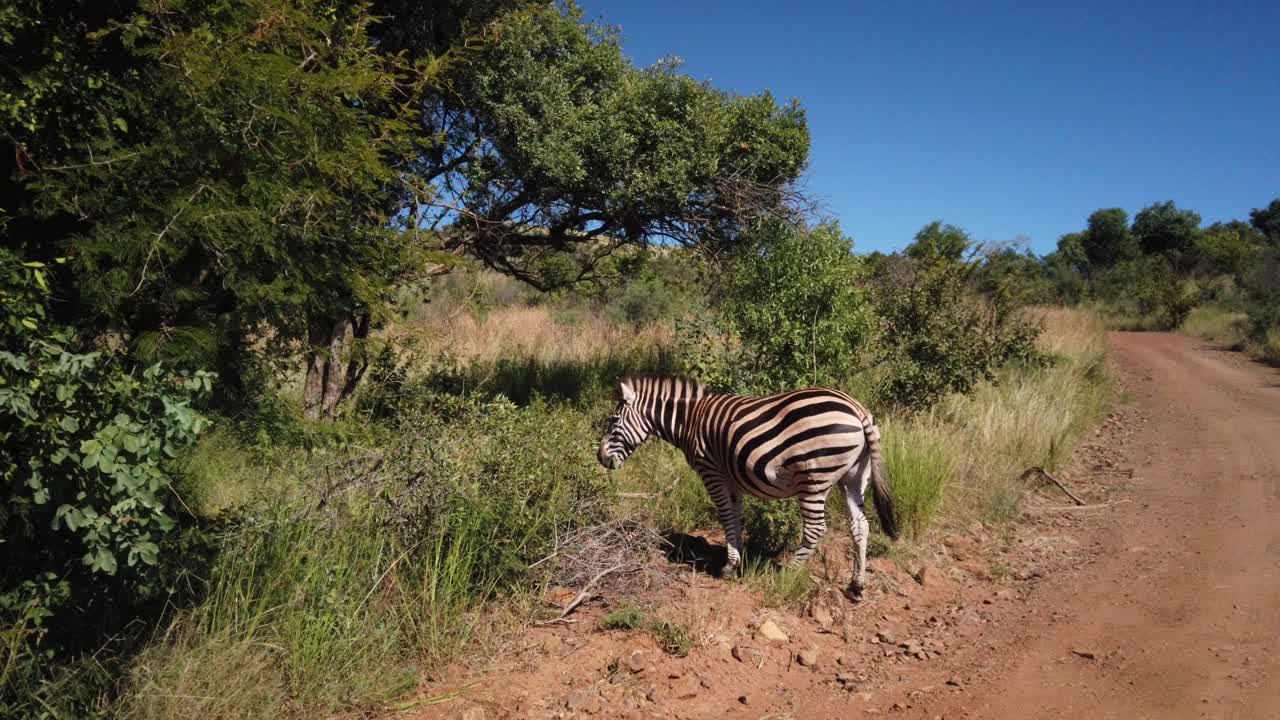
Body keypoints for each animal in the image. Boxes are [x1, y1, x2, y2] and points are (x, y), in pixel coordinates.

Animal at [597, 375, 898, 598]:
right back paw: (856, 587)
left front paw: (729, 566)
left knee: (815, 529)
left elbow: (725, 515)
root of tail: (857, 409)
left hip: (814, 478)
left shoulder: (711, 471)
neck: (690, 420)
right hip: (854, 478)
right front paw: (738, 556)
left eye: (613, 422)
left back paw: (787, 573)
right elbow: (736, 515)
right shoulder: (732, 475)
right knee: (860, 526)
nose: (600, 458)